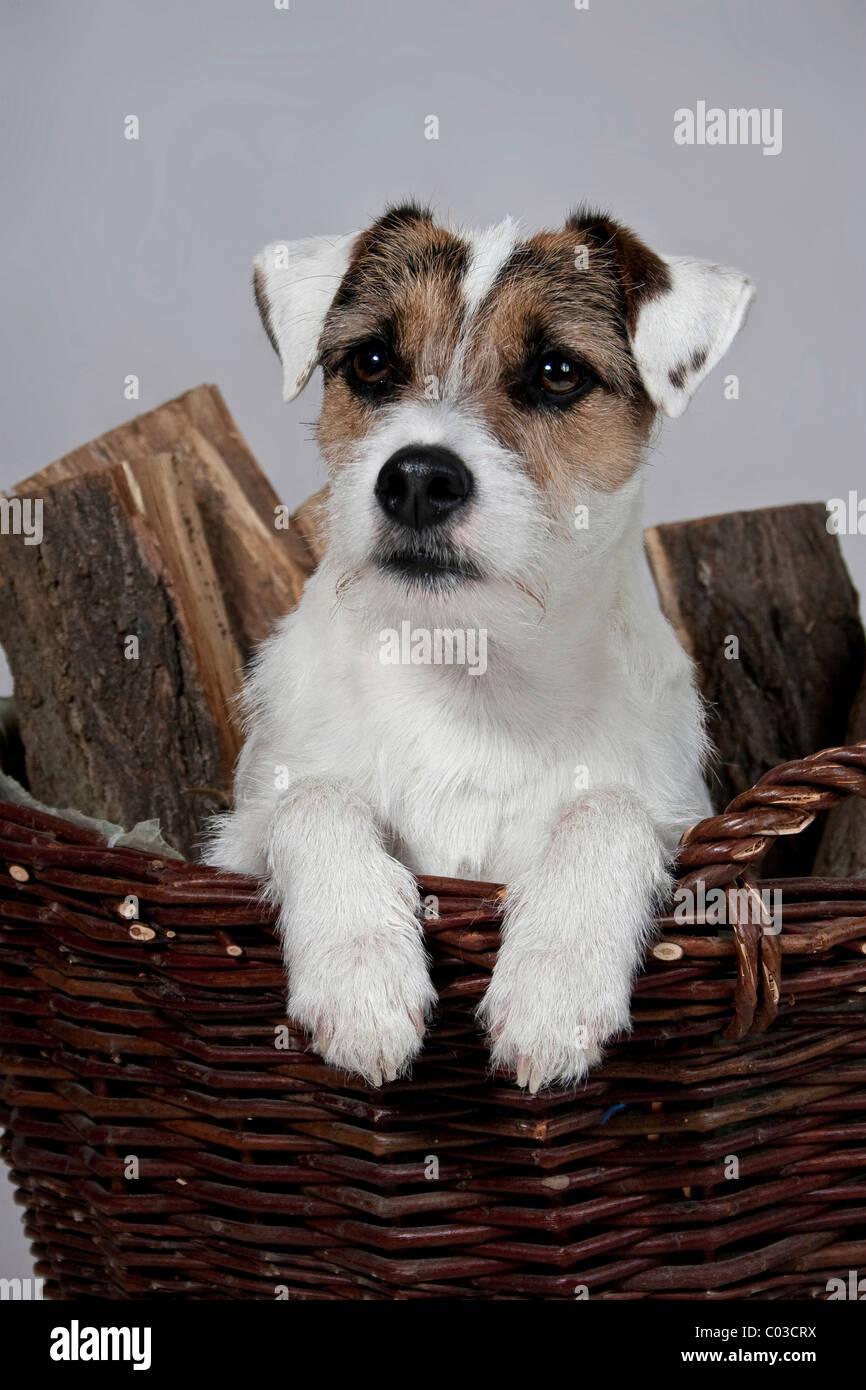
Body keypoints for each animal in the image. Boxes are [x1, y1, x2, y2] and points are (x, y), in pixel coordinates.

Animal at [207, 201, 756, 1089]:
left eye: (558, 372)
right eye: (371, 362)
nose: (418, 479)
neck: (470, 671)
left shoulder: (681, 821)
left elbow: (610, 808)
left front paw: (554, 984)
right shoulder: (236, 840)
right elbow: (315, 799)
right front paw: (362, 971)